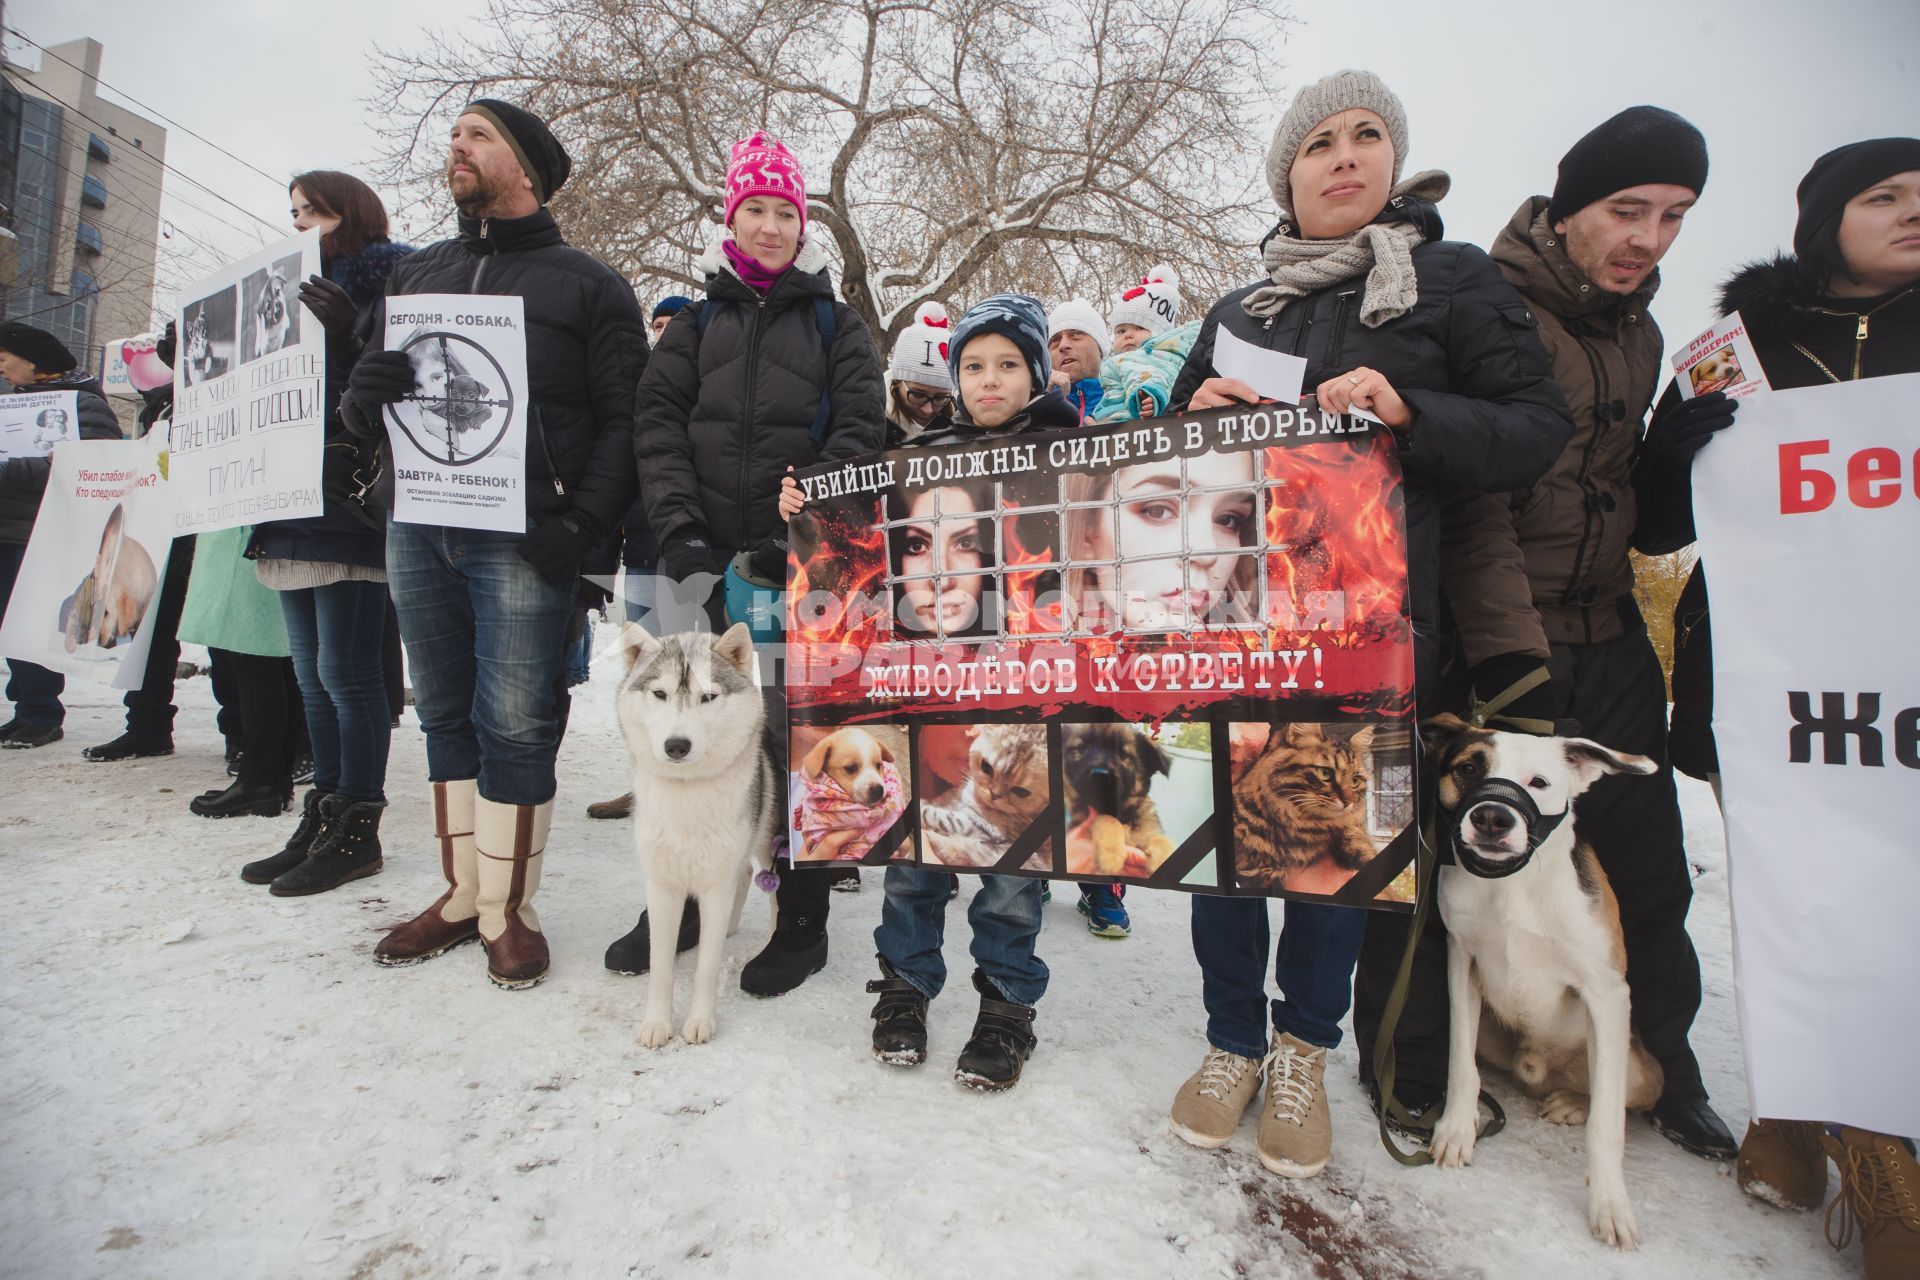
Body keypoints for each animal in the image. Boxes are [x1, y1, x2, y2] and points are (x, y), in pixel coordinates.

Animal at [622, 621, 787, 1051]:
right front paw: (657, 1023)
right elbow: (660, 965)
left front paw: (699, 1022)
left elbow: (706, 968)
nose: (677, 745)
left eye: (708, 696)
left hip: (769, 842)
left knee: (770, 887)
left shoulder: (715, 884)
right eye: (660, 693)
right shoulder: (662, 887)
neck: (687, 793)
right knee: (744, 875)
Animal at [1420, 717, 1674, 1258]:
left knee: (1612, 1095)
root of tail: (1536, 1072)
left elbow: (1608, 1124)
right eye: (1468, 768)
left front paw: (1610, 1206)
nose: (1492, 817)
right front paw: (1456, 1129)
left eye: (1539, 782)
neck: (1511, 886)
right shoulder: (1461, 960)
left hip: (1644, 1067)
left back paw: (1573, 1103)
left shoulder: (1607, 993)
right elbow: (1460, 1063)